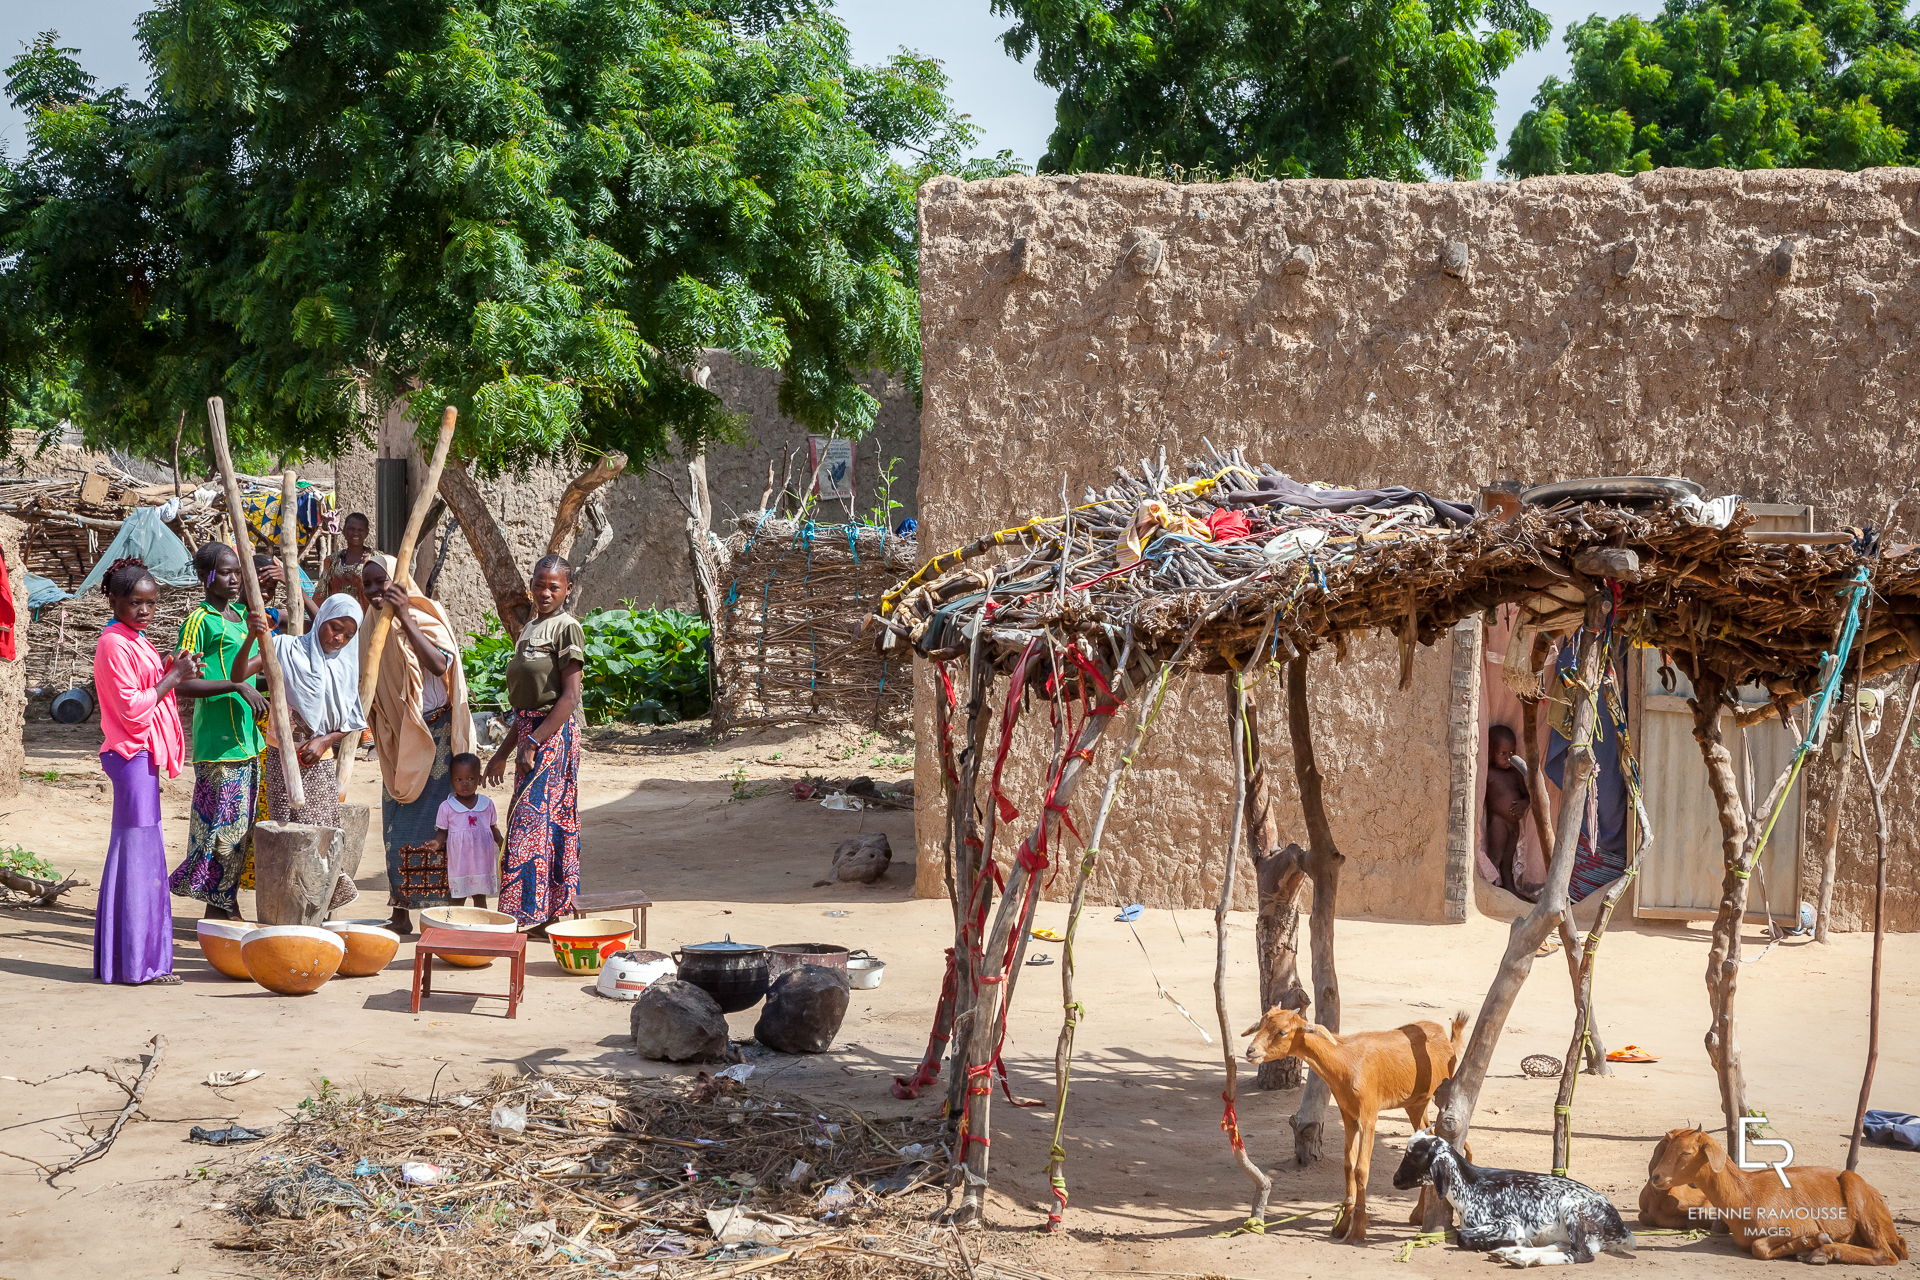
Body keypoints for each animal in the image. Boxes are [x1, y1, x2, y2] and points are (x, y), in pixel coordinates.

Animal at [1244, 1005, 1466, 1243]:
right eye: (1261, 1024)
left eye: (1283, 1032)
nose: (1250, 1051)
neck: (1345, 1060)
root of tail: (1447, 1041)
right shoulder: (1348, 1114)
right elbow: (1348, 1165)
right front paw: (1343, 1224)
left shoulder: (1369, 1114)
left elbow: (1361, 1168)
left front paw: (1358, 1229)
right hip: (1415, 1105)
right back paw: (1418, 1214)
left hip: (1437, 1096)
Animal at [1643, 1128, 1912, 1266]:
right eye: (1666, 1148)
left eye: (1686, 1152)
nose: (1656, 1177)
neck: (1746, 1196)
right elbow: (1758, 1246)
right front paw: (1808, 1244)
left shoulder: (1799, 1223)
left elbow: (1759, 1247)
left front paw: (1813, 1240)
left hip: (1857, 1193)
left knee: (1886, 1254)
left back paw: (1822, 1252)